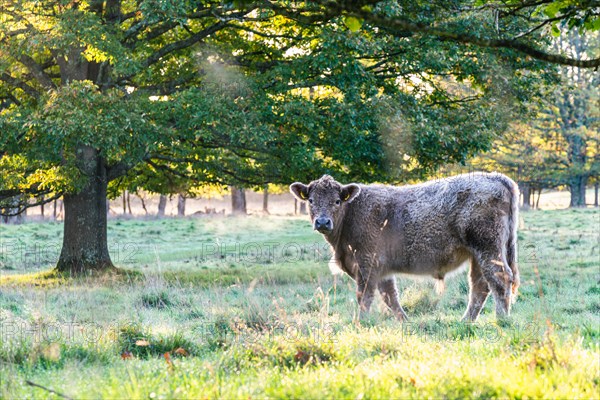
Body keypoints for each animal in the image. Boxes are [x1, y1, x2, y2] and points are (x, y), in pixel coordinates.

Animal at [290, 173, 520, 322]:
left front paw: (360, 322)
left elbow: (364, 296)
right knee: (480, 286)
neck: (352, 211)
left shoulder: (366, 263)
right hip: (477, 255)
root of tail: (497, 177)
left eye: (337, 201)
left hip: (488, 248)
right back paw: (466, 321)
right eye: (311, 200)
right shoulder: (381, 269)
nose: (322, 222)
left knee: (499, 279)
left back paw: (502, 319)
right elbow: (390, 296)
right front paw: (404, 321)